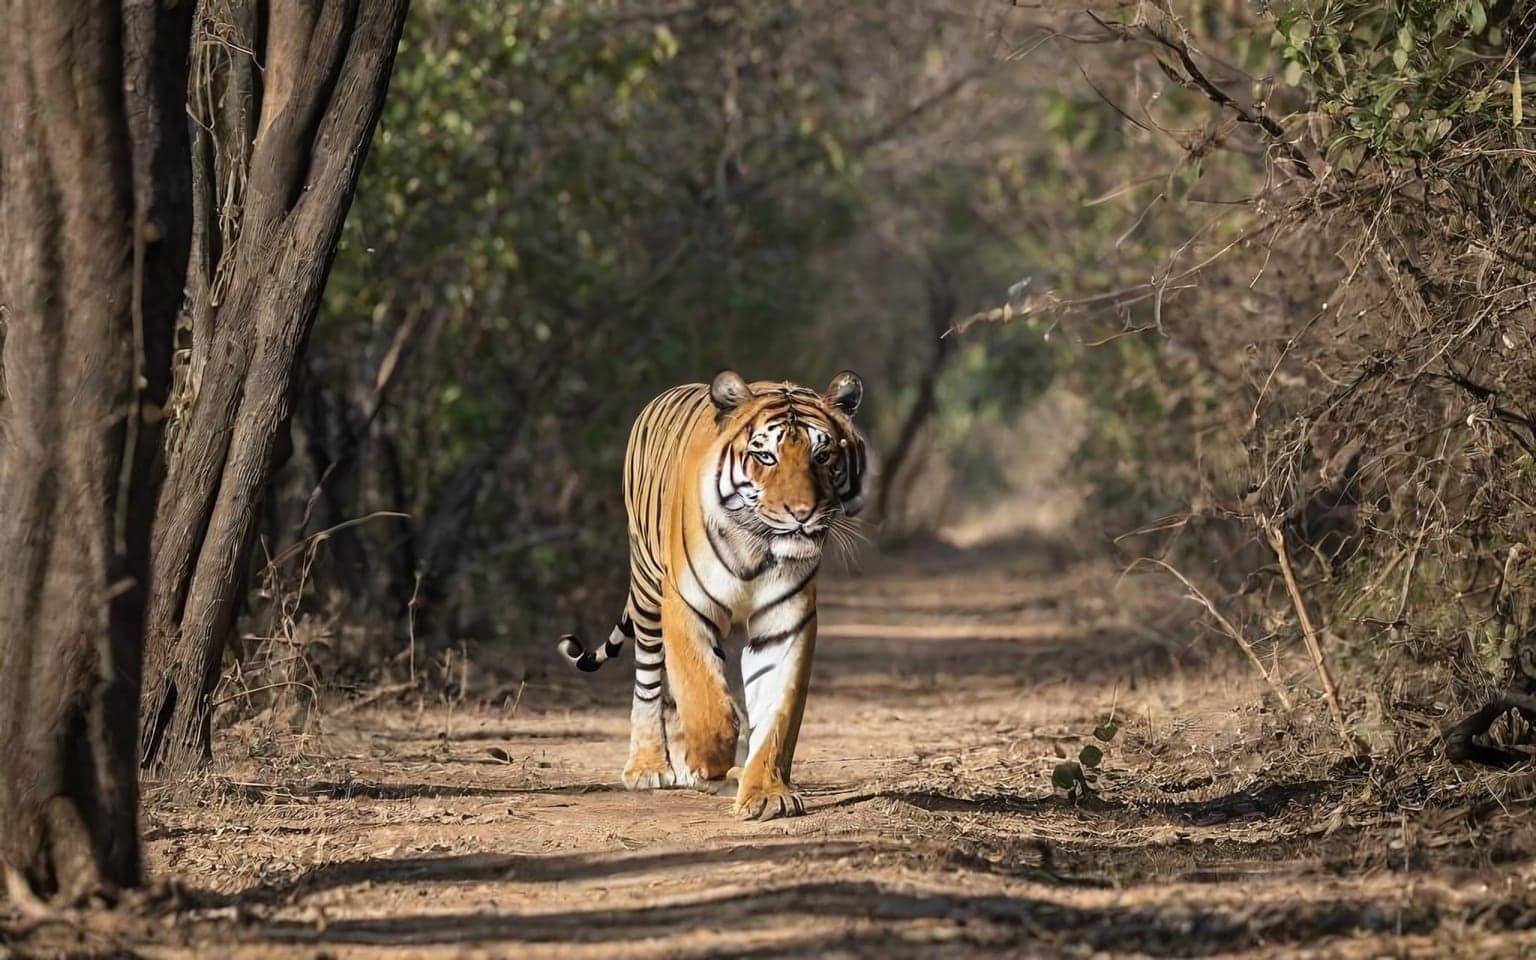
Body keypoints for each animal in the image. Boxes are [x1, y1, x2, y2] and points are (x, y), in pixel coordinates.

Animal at [557, 369, 867, 820]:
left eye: (822, 456)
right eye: (766, 457)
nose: (801, 514)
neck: (756, 546)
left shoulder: (787, 619)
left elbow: (779, 711)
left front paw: (767, 794)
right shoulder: (685, 605)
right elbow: (706, 701)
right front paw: (708, 761)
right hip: (647, 590)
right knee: (650, 681)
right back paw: (649, 766)